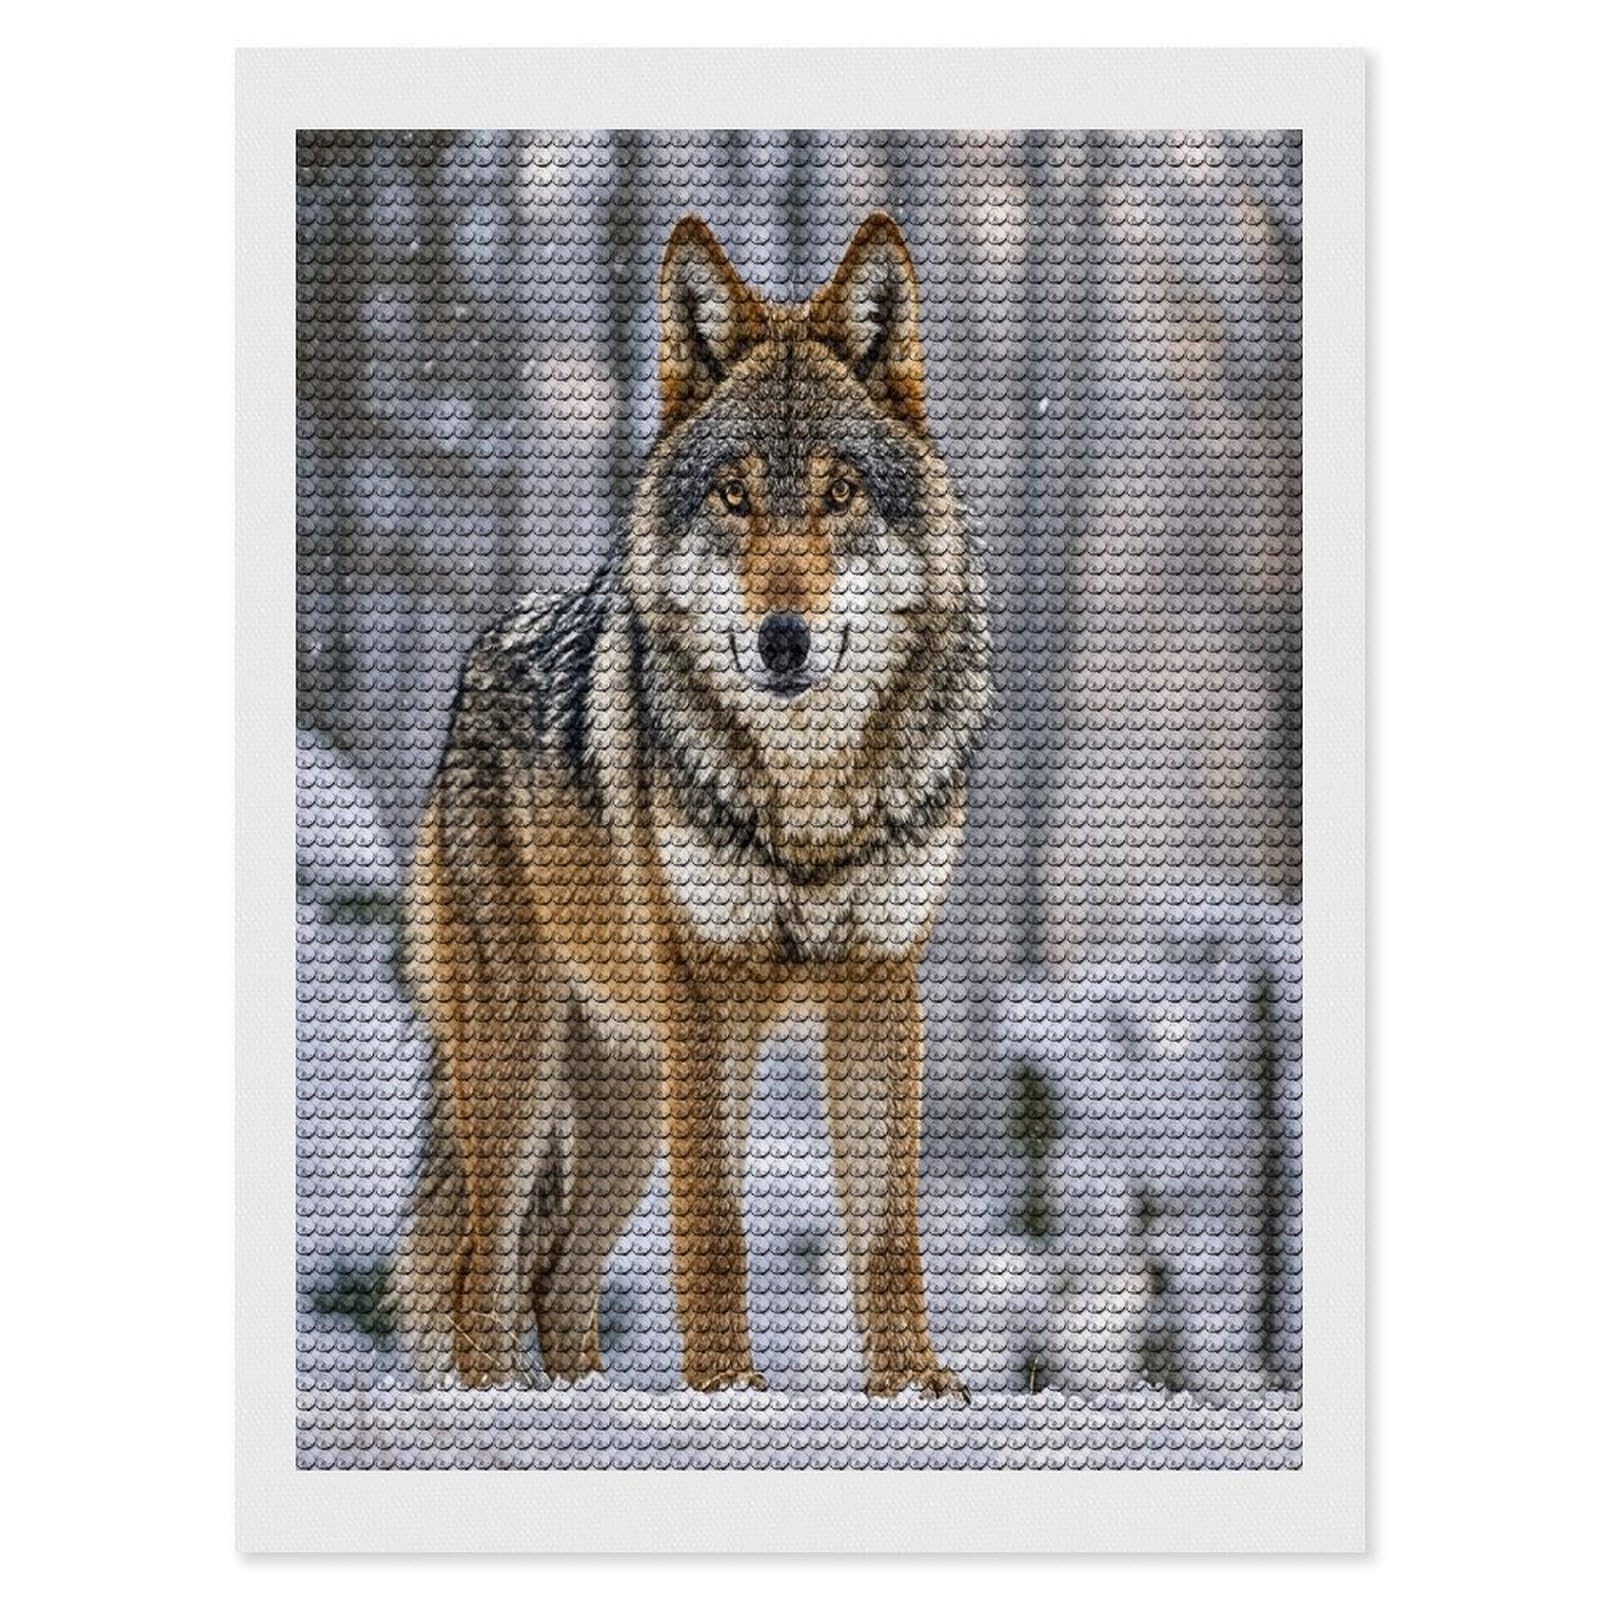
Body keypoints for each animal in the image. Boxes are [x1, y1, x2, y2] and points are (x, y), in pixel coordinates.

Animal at [395, 212, 991, 1397]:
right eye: (733, 494)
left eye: (840, 494)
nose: (782, 639)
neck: (810, 796)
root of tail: (472, 668)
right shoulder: (707, 995)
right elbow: (717, 1223)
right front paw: (726, 1394)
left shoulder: (878, 982)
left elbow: (887, 1231)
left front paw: (912, 1385)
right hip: (530, 1064)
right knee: (488, 1267)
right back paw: (499, 1400)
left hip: (624, 1096)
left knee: (556, 1275)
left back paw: (579, 1397)